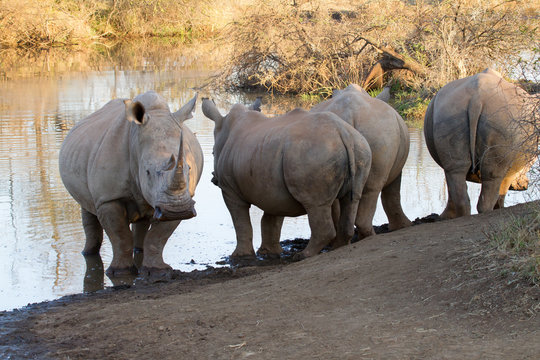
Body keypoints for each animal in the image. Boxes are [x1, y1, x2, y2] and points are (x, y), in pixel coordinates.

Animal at [58, 90, 202, 276]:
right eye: (147, 172)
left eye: (189, 168)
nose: (178, 210)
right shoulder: (108, 198)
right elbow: (120, 236)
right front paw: (120, 272)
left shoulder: (180, 199)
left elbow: (158, 236)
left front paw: (157, 270)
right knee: (87, 207)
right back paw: (87, 253)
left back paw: (139, 250)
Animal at [310, 84, 412, 239]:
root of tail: (349, 113)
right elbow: (392, 195)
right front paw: (402, 226)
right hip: (379, 131)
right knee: (373, 188)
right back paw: (370, 236)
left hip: (330, 142)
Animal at [426, 68, 536, 218]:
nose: (522, 186)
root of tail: (477, 98)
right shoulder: (513, 169)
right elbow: (502, 189)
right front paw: (500, 208)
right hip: (502, 118)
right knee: (492, 176)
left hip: (448, 113)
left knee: (455, 170)